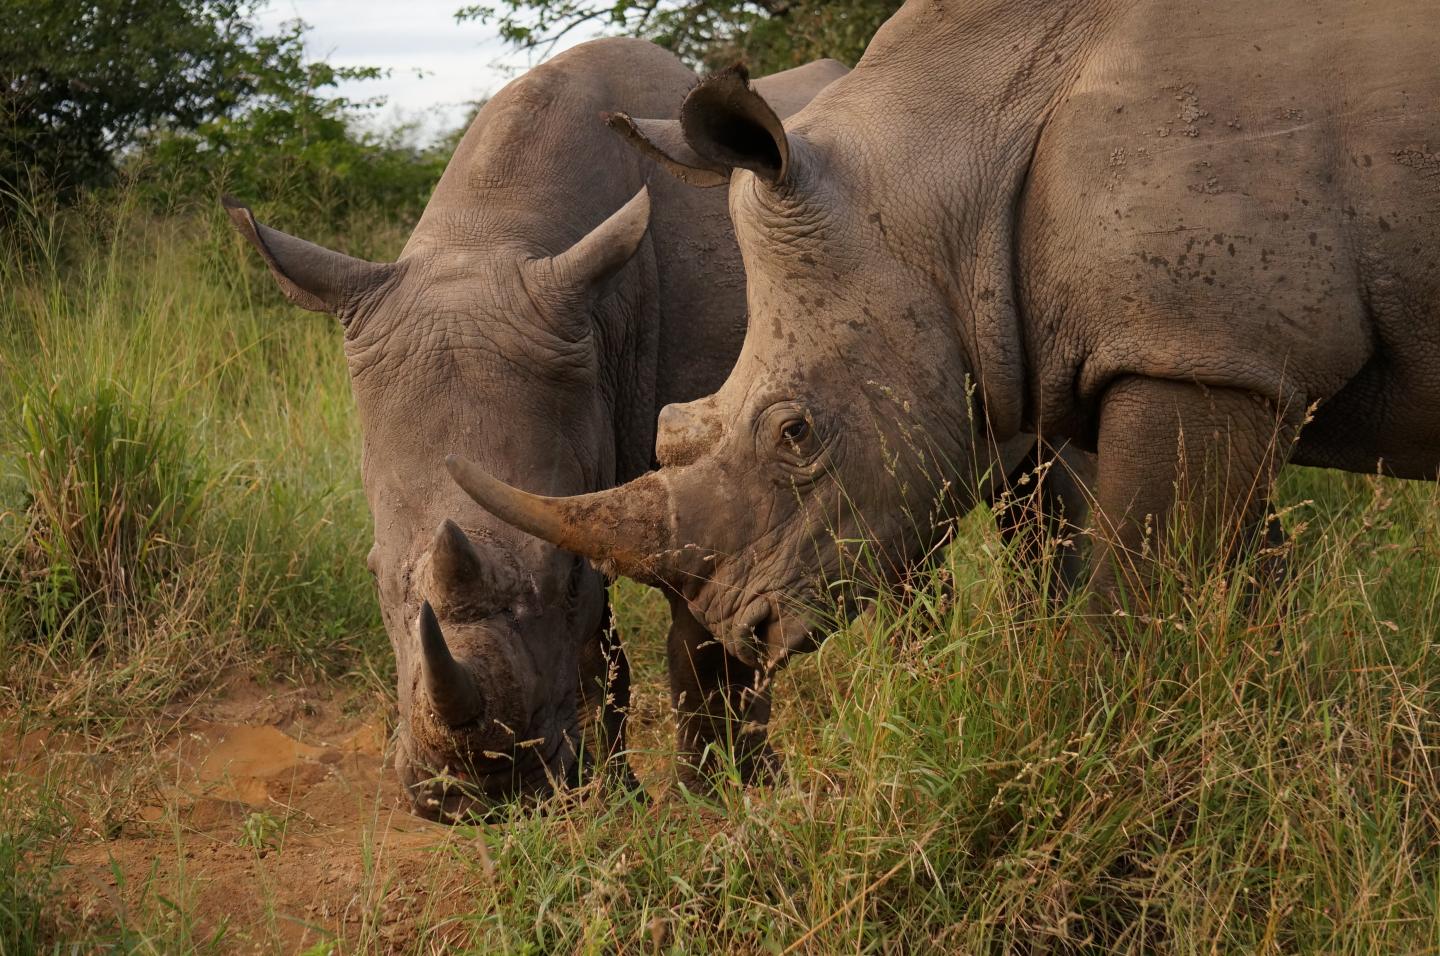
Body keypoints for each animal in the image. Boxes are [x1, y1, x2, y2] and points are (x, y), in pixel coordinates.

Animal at [224, 38, 853, 818]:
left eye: (567, 577)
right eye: (373, 574)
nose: (477, 797)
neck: (495, 232)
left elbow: (704, 628)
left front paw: (720, 798)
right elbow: (597, 657)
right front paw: (607, 800)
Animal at [449, 0, 1439, 738]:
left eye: (796, 433)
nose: (744, 629)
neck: (950, 163)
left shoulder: (1201, 353)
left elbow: (1141, 599)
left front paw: (1121, 760)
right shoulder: (1210, 351)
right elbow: (1251, 570)